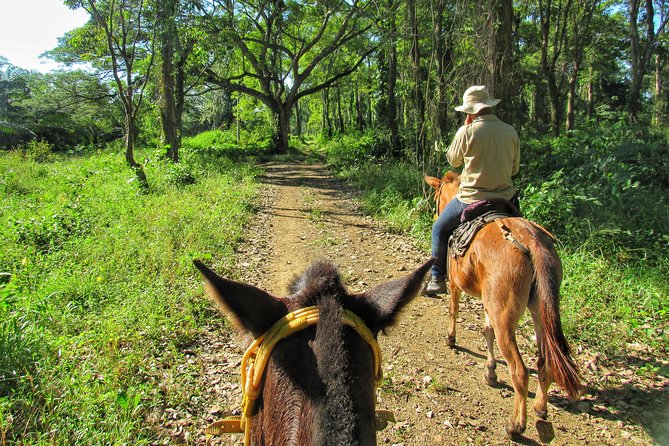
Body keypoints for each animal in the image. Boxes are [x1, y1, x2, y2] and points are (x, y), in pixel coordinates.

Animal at [428, 173, 580, 440]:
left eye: (437, 196)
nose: (434, 213)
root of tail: (531, 242)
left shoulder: (456, 284)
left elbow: (453, 310)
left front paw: (451, 339)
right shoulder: (490, 303)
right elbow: (486, 332)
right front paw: (490, 371)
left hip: (505, 317)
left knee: (520, 370)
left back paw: (516, 425)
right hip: (538, 311)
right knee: (544, 362)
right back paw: (540, 407)